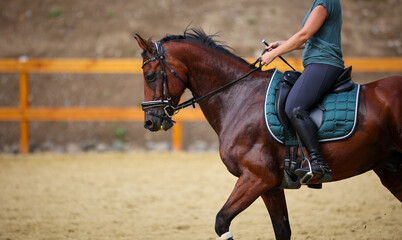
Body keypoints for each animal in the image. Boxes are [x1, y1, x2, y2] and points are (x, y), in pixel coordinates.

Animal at [135, 28, 402, 240]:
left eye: (150, 76)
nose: (149, 122)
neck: (238, 96)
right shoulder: (271, 186)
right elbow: (282, 230)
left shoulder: (256, 178)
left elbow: (221, 222)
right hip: (389, 169)